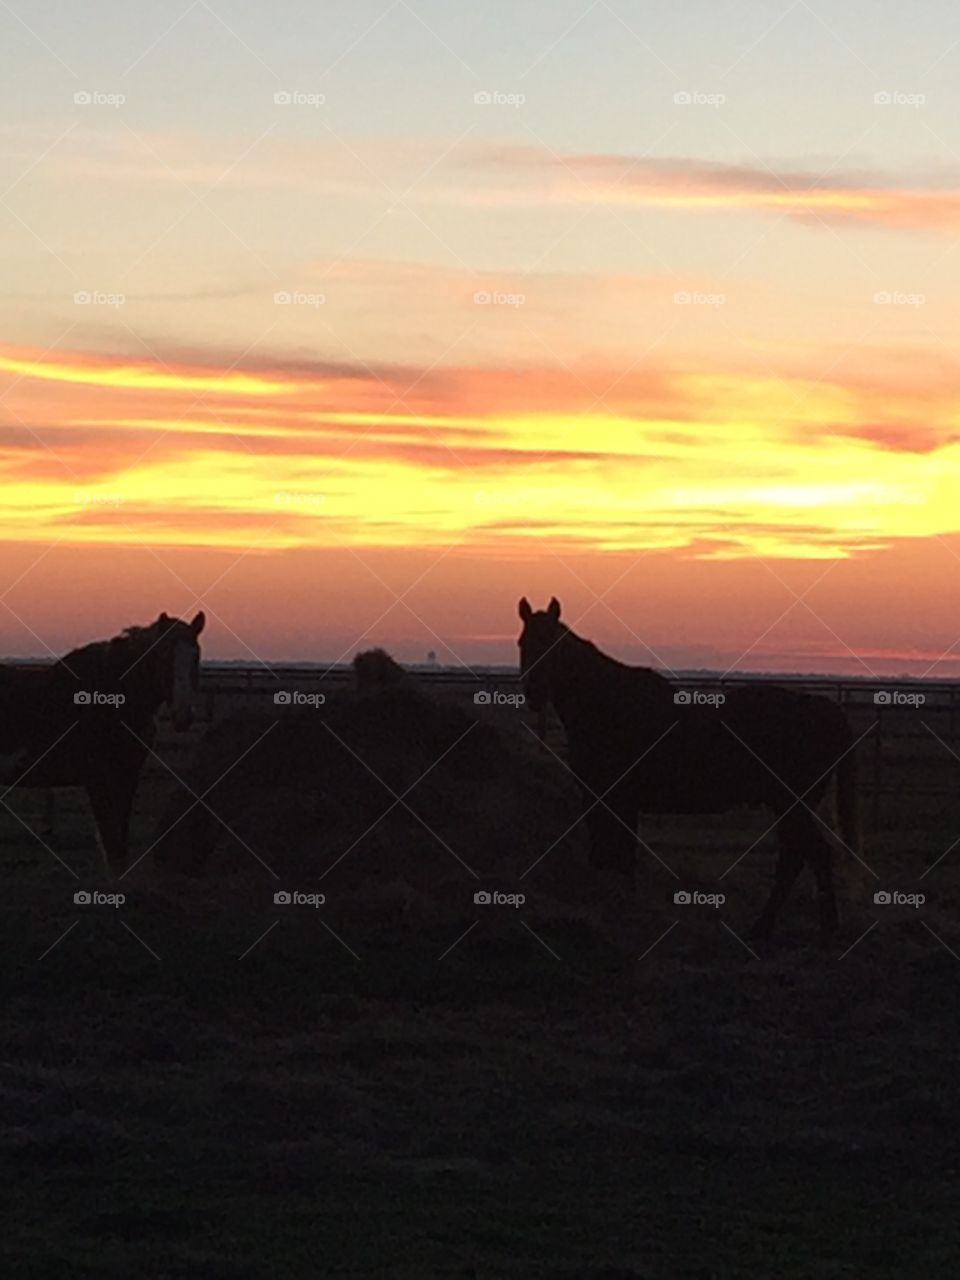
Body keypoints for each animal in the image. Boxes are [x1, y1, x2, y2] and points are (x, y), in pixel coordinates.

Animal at [0, 611, 204, 875]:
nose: (183, 715)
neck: (111, 698)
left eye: (195, 656)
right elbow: (112, 845)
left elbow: (120, 850)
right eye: (163, 656)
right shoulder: (96, 779)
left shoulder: (127, 777)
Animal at [519, 596, 865, 942]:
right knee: (803, 856)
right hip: (789, 806)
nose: (533, 693)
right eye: (523, 643)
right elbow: (612, 857)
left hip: (791, 804)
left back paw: (790, 929)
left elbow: (617, 857)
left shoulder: (612, 800)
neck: (608, 706)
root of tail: (822, 707)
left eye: (553, 645)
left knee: (807, 856)